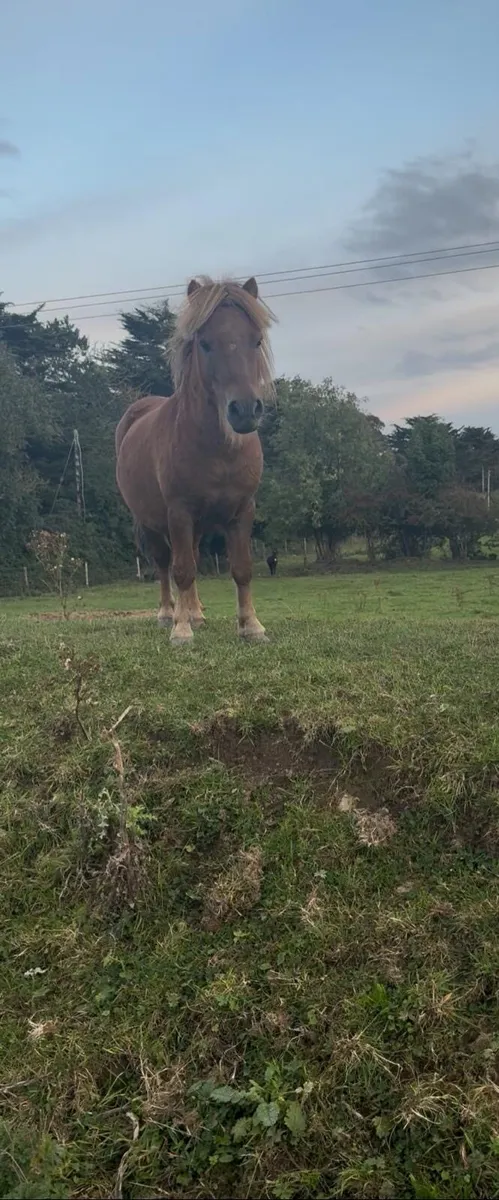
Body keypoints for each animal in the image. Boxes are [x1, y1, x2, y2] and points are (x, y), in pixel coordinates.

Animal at [115, 276, 276, 647]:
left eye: (256, 340)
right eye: (205, 343)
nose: (245, 410)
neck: (218, 451)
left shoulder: (243, 509)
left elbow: (242, 568)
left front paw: (251, 626)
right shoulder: (179, 511)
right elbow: (182, 569)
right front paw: (181, 631)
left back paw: (196, 613)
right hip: (151, 521)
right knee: (165, 564)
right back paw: (169, 614)